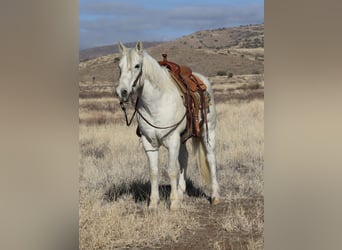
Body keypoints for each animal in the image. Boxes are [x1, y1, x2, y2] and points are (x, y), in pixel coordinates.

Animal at [116, 42, 220, 210]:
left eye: (137, 65)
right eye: (119, 67)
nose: (122, 92)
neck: (157, 103)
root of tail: (202, 79)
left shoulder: (172, 140)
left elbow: (171, 170)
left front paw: (174, 203)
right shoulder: (149, 142)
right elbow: (153, 171)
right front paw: (153, 203)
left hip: (208, 131)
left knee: (211, 158)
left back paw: (215, 196)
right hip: (183, 138)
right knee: (184, 158)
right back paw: (181, 192)